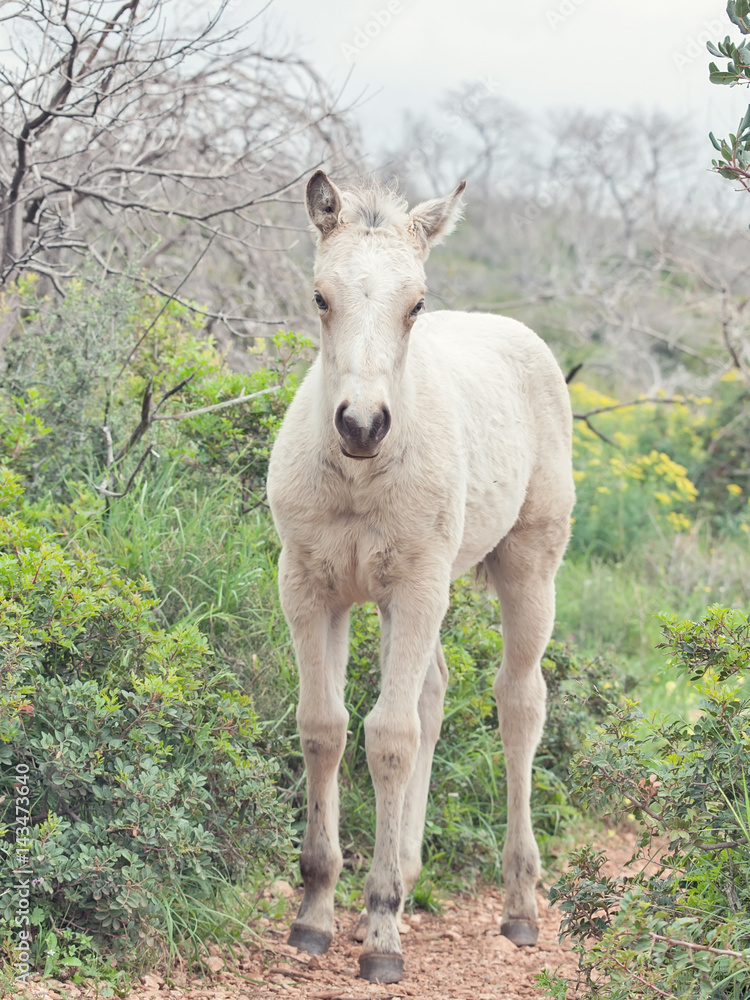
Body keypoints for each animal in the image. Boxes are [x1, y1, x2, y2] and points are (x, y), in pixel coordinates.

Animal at [266, 171, 575, 985]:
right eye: (321, 297)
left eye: (416, 304)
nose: (361, 423)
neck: (358, 477)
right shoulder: (310, 586)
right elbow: (325, 727)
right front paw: (316, 914)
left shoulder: (415, 587)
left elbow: (390, 738)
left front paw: (381, 937)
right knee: (433, 687)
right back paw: (400, 876)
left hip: (527, 567)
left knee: (518, 702)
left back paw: (519, 905)